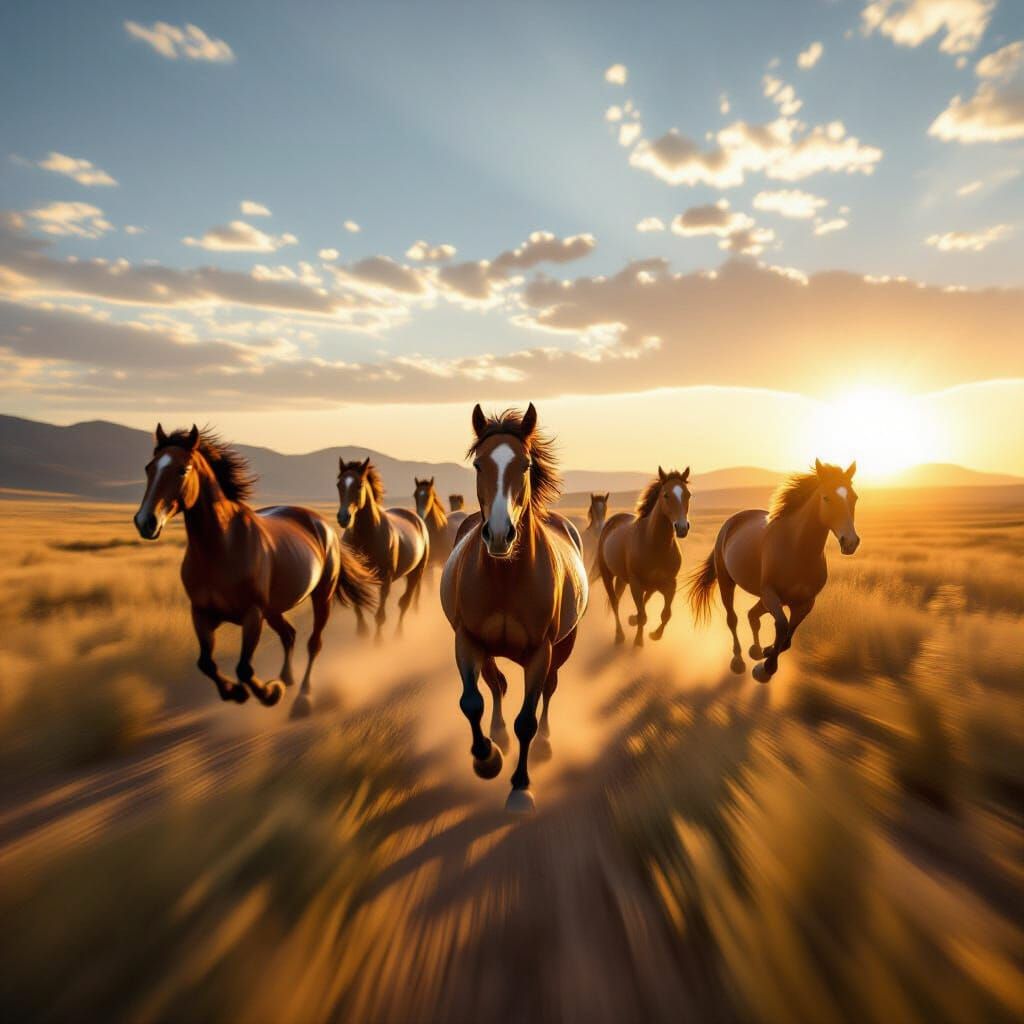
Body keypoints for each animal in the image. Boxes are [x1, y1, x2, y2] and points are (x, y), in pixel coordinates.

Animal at [133, 425, 377, 718]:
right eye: (149, 468)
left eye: (182, 470)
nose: (145, 522)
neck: (221, 547)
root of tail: (323, 524)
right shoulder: (201, 613)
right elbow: (206, 663)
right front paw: (237, 692)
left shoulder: (252, 615)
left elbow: (244, 669)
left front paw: (270, 693)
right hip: (273, 609)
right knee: (289, 635)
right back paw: (286, 678)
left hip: (321, 597)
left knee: (313, 643)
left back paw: (301, 697)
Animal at [337, 458, 429, 638]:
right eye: (339, 484)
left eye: (359, 485)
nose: (343, 517)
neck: (366, 536)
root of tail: (417, 519)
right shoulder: (355, 576)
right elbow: (357, 604)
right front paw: (362, 631)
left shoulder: (385, 579)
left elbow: (380, 615)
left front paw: (378, 641)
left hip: (416, 573)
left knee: (405, 603)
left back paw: (398, 634)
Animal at [441, 403, 588, 813]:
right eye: (479, 464)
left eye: (524, 464)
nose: (499, 534)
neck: (506, 576)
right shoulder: (467, 639)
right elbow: (472, 701)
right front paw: (486, 757)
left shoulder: (541, 652)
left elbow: (528, 720)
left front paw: (521, 787)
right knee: (497, 684)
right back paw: (498, 736)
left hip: (562, 648)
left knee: (548, 692)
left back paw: (544, 746)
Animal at [595, 467, 691, 646]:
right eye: (666, 495)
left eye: (688, 494)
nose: (682, 527)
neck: (654, 545)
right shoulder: (636, 584)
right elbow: (643, 616)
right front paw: (638, 641)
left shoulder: (670, 584)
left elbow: (665, 614)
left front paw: (654, 634)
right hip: (607, 575)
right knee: (615, 602)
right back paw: (619, 636)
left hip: (627, 579)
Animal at [687, 459, 860, 682]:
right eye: (826, 497)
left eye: (854, 497)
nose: (851, 542)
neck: (798, 550)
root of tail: (732, 521)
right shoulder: (771, 594)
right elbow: (782, 626)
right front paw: (764, 669)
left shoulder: (805, 603)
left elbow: (788, 637)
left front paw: (767, 653)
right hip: (728, 582)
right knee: (733, 618)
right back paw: (738, 661)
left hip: (764, 598)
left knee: (752, 615)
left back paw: (755, 650)